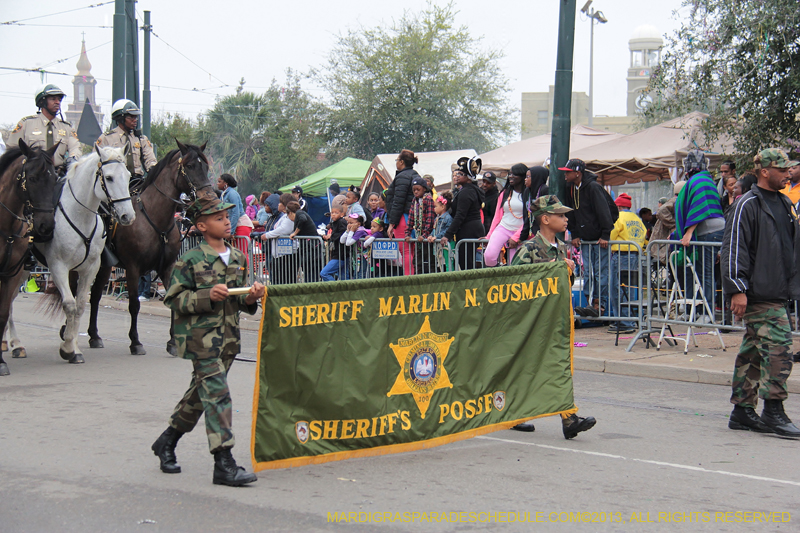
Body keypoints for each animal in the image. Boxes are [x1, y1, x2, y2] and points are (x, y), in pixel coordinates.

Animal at [0, 140, 59, 374]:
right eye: (32, 178)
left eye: (54, 178)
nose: (46, 226)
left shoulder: (12, 274)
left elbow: (3, 312)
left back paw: (14, 344)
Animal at [24, 144, 134, 362]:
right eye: (108, 177)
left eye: (127, 175)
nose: (128, 215)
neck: (79, 215)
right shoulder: (57, 266)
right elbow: (69, 304)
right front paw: (67, 348)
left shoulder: (90, 268)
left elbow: (80, 305)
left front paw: (73, 347)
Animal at [85, 140, 212, 354]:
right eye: (190, 165)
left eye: (206, 166)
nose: (209, 196)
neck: (155, 217)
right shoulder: (133, 268)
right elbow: (134, 304)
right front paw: (135, 342)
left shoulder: (167, 267)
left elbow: (172, 301)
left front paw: (172, 343)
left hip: (105, 266)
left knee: (94, 295)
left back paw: (94, 336)